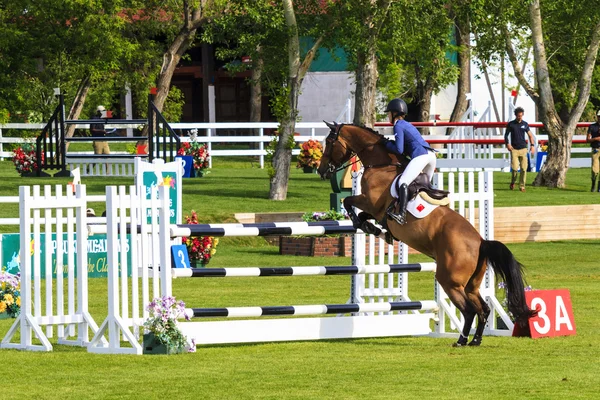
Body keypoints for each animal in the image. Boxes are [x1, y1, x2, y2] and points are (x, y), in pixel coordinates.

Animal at [318, 122, 536, 346]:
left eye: (329, 142)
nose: (321, 170)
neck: (380, 164)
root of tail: (481, 242)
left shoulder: (371, 202)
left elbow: (348, 202)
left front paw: (367, 226)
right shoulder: (374, 210)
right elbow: (362, 215)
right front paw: (376, 230)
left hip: (450, 281)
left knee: (469, 310)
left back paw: (461, 340)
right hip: (471, 285)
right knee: (483, 309)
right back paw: (475, 340)